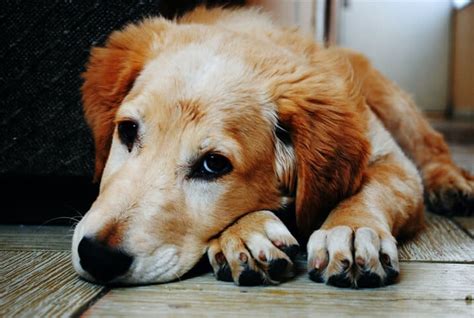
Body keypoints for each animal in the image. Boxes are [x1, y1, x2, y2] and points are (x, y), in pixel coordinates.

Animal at [71, 5, 474, 288]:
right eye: (127, 131)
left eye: (214, 164)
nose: (97, 256)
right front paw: (247, 233)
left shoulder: (393, 162)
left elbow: (371, 188)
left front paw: (353, 229)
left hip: (392, 103)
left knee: (433, 147)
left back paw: (452, 184)